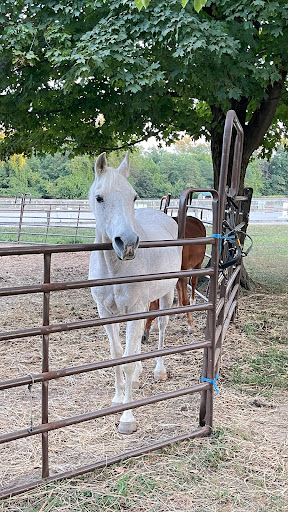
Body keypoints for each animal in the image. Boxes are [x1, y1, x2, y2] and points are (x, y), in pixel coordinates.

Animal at [89, 151, 181, 432]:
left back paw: (159, 371)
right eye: (99, 197)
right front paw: (118, 399)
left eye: (134, 197)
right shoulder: (106, 312)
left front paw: (127, 419)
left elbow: (128, 360)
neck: (113, 267)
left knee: (161, 327)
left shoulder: (136, 307)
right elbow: (118, 354)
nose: (127, 243)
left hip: (166, 295)